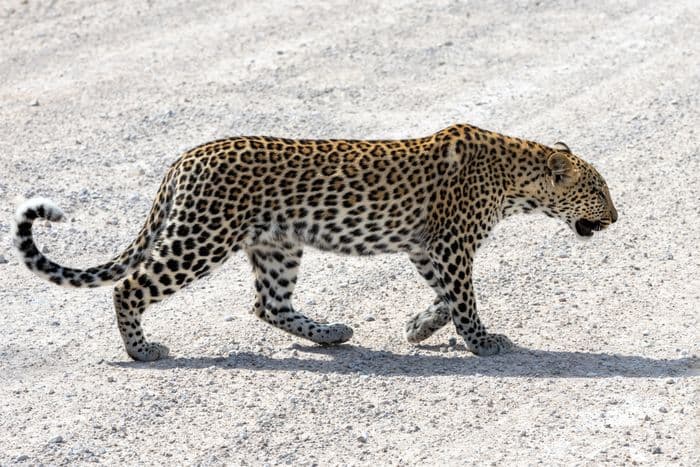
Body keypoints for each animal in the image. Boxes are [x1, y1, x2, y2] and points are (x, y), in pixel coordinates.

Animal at [13, 123, 616, 362]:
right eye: (598, 189)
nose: (615, 216)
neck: (516, 180)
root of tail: (185, 158)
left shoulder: (426, 247)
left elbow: (446, 296)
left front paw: (419, 327)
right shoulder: (448, 244)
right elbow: (464, 298)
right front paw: (482, 341)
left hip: (276, 244)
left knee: (268, 302)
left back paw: (330, 333)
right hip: (201, 237)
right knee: (131, 286)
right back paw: (142, 351)